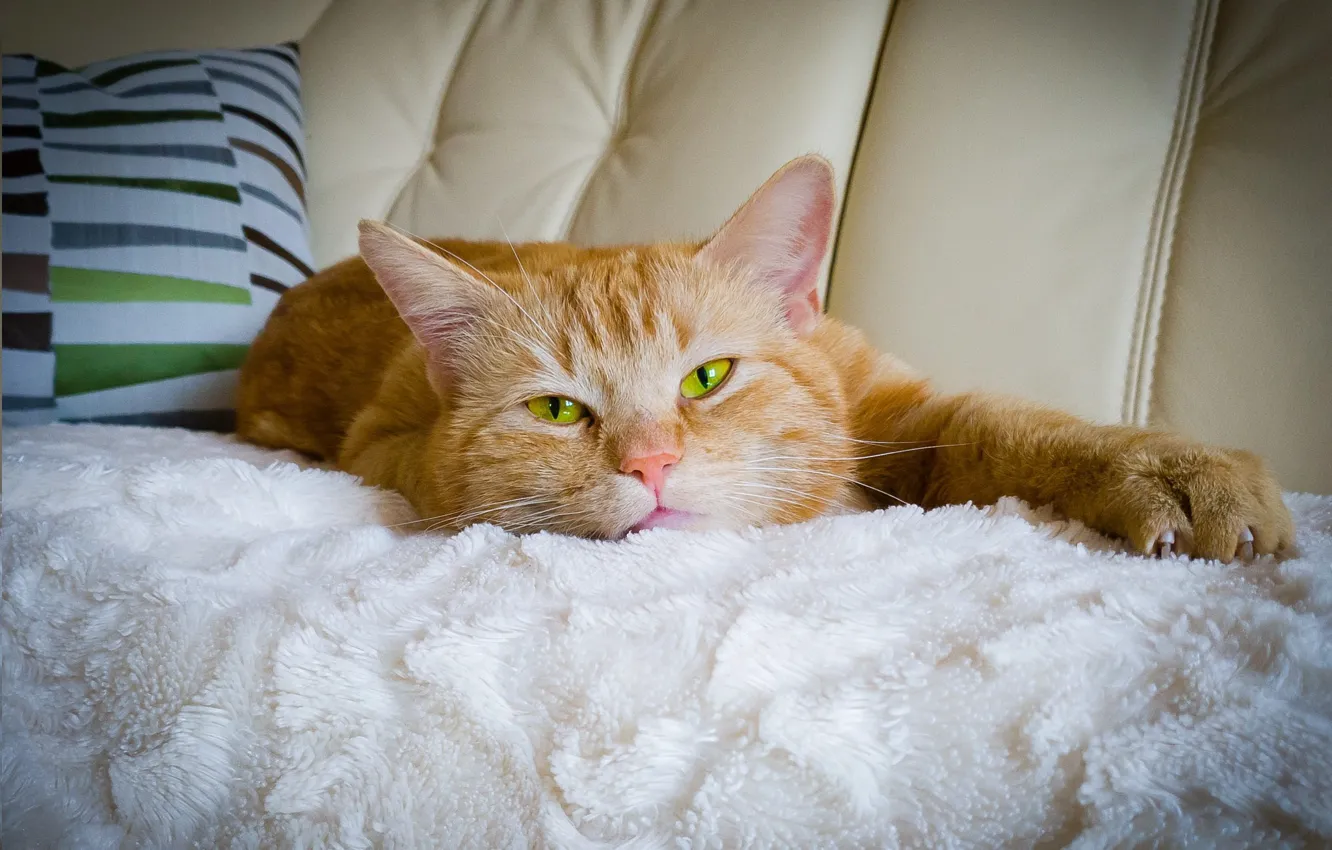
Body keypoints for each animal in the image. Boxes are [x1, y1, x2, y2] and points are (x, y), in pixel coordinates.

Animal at [237, 156, 1289, 562]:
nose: (652, 465)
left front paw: (1172, 469)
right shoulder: (387, 444)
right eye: (558, 411)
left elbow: (1007, 427)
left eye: (707, 378)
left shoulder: (901, 411)